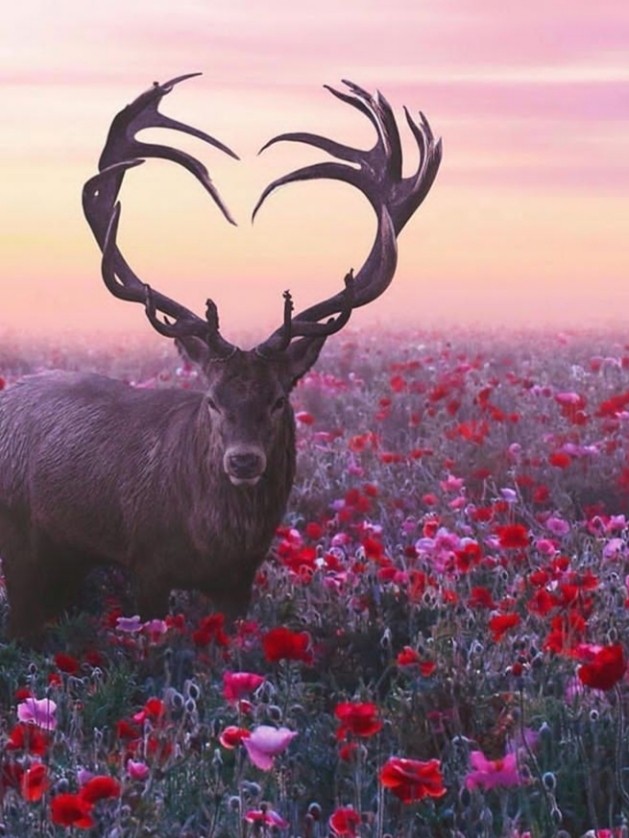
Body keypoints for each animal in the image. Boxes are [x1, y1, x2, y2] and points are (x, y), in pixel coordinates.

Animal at [0, 74, 441, 642]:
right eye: (211, 399)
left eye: (278, 399)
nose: (244, 460)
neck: (210, 543)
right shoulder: (147, 561)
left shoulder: (239, 582)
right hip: (21, 538)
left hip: (65, 557)